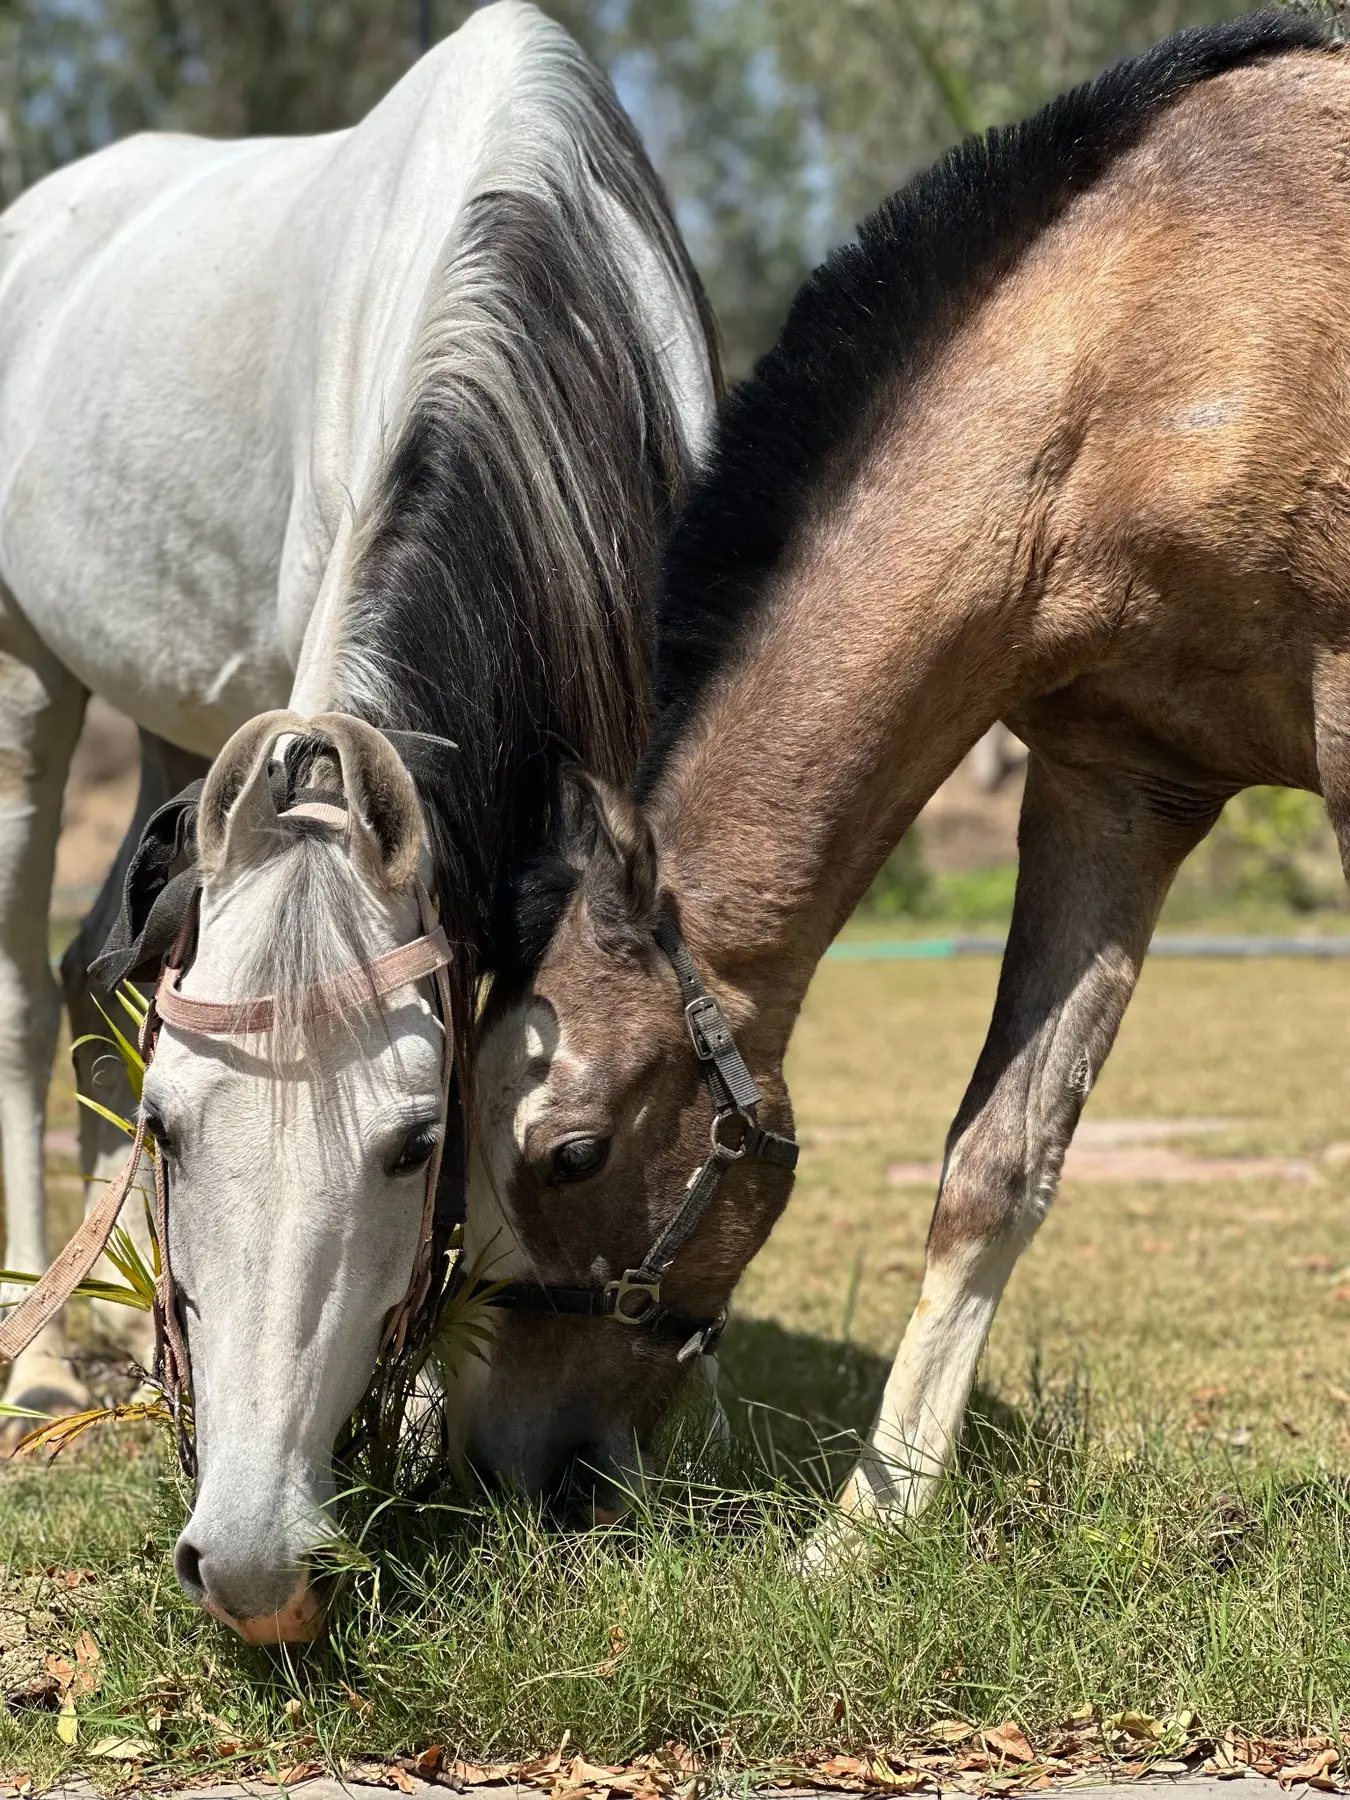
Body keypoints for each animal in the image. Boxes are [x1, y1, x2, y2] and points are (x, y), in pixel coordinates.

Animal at [0, 0, 716, 1637]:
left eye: (412, 1144)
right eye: (169, 1131)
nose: (253, 1563)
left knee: (91, 964)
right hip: (29, 681)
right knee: (21, 978)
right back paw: (46, 1347)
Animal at [444, 9, 1348, 1529]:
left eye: (571, 1153)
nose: (517, 1472)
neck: (1172, 330)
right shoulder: (1120, 786)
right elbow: (994, 1162)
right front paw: (865, 1533)